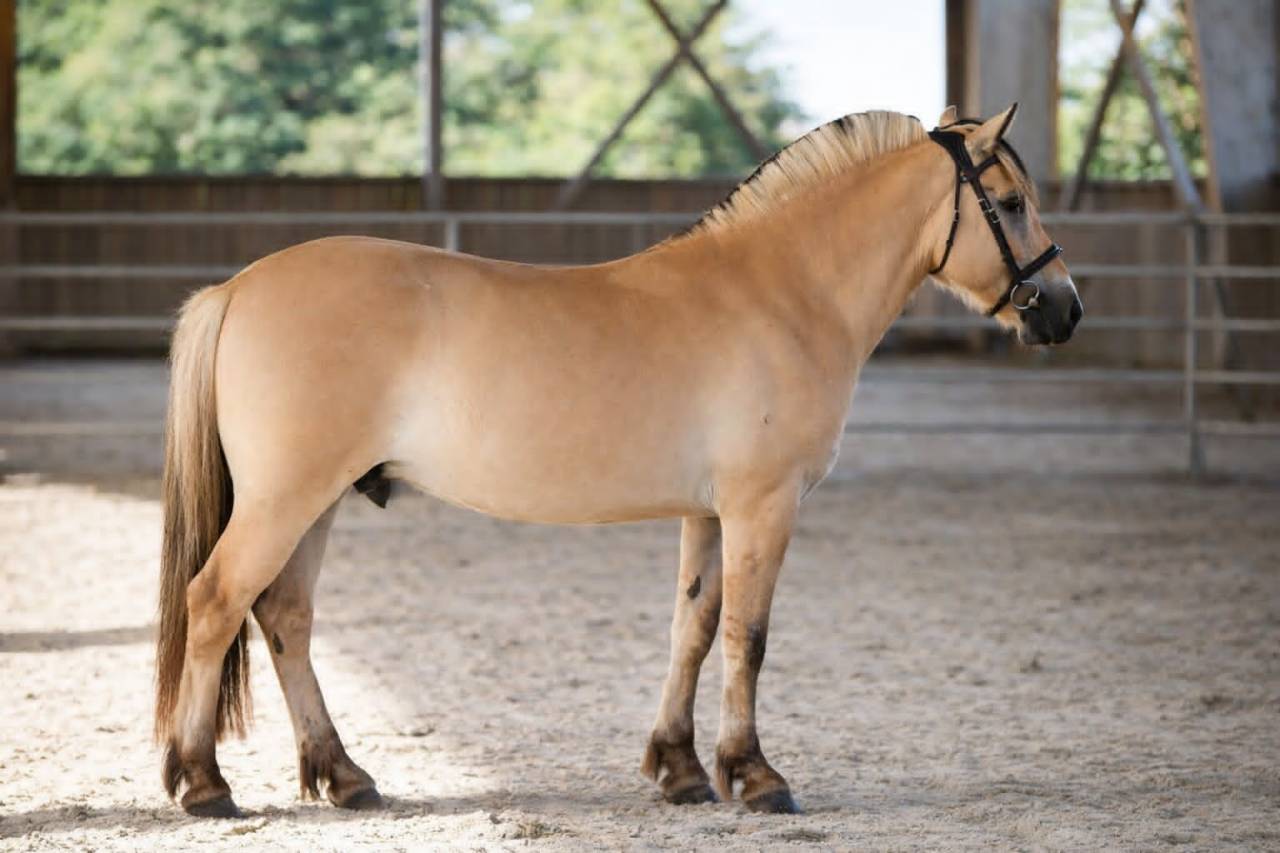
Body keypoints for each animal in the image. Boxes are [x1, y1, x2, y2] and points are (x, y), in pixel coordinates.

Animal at [154, 104, 1081, 818]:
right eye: (1009, 202)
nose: (1063, 309)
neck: (785, 291)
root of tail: (237, 288)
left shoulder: (709, 511)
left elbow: (694, 627)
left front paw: (680, 769)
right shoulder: (763, 504)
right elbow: (748, 636)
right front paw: (756, 776)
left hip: (318, 500)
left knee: (284, 616)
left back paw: (344, 776)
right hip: (286, 498)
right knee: (216, 600)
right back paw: (204, 783)